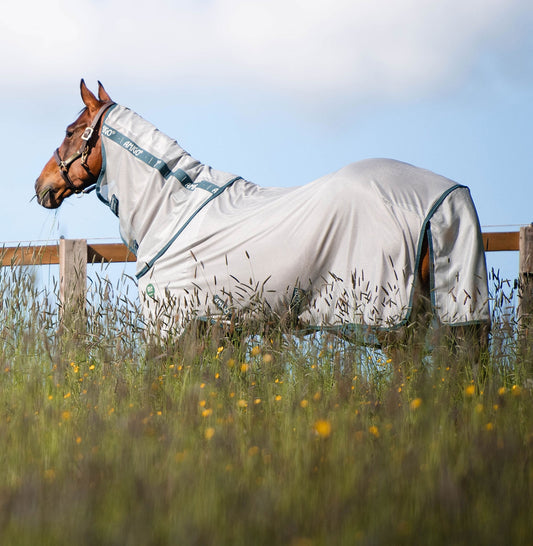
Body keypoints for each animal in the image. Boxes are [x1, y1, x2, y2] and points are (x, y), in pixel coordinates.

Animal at [34, 79, 490, 362]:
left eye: (72, 131)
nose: (42, 185)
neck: (170, 210)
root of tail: (445, 196)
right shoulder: (219, 331)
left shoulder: (172, 328)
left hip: (392, 324)